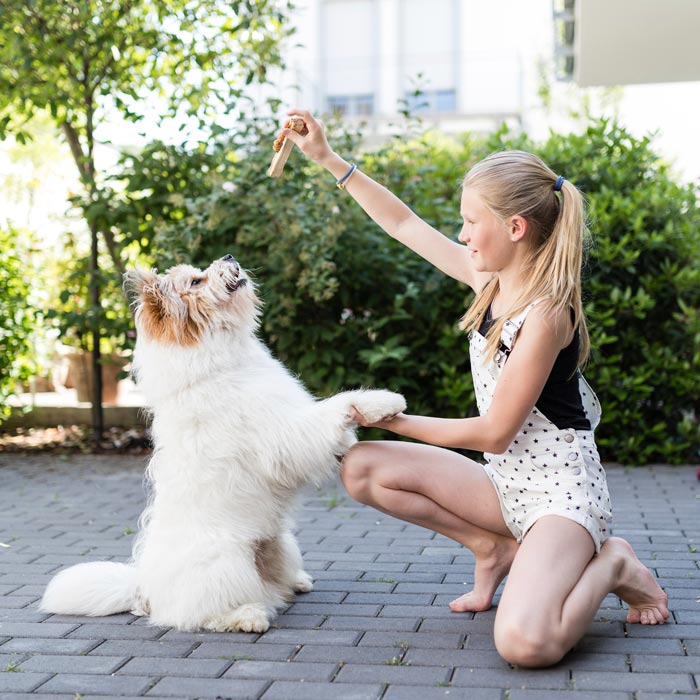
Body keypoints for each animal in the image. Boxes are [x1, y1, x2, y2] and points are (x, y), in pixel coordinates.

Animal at [41, 254, 404, 632]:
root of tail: (143, 589)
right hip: (227, 563)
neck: (220, 364)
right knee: (199, 614)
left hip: (281, 541)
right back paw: (248, 616)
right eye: (196, 281)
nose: (229, 257)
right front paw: (382, 402)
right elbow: (335, 407)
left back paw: (295, 582)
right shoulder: (286, 434)